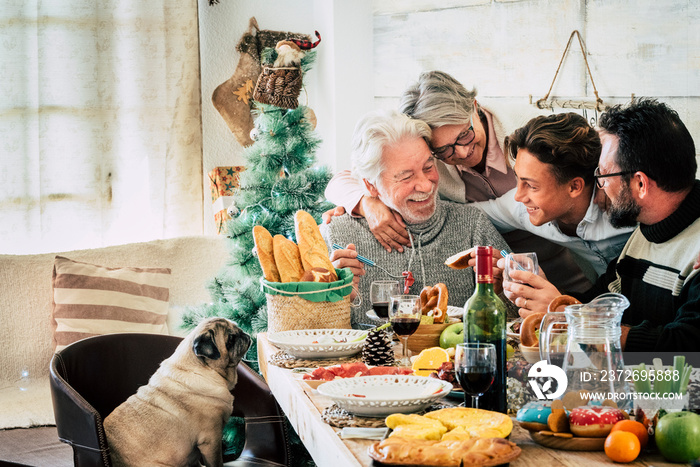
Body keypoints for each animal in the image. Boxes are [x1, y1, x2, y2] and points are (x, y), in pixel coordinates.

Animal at [104, 318, 252, 467]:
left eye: (237, 328)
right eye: (230, 338)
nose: (243, 333)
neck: (203, 370)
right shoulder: (211, 440)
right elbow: (216, 463)